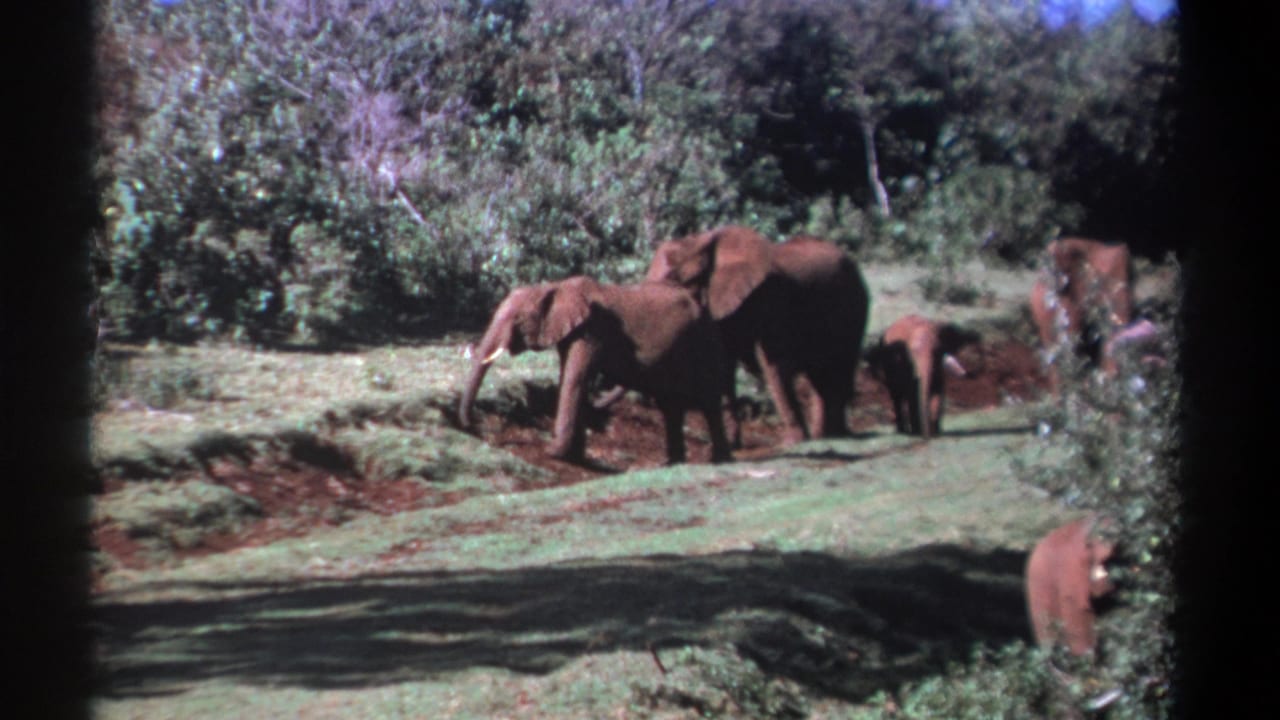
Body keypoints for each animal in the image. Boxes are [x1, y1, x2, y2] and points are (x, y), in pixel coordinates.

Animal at [457, 276, 733, 466]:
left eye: (518, 320)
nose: (474, 426)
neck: (556, 287)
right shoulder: (572, 333)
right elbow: (569, 378)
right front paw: (574, 456)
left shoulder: (592, 330)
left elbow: (576, 378)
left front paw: (553, 452)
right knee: (671, 405)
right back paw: (671, 464)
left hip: (703, 340)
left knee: (708, 399)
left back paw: (719, 461)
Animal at [645, 226, 871, 446]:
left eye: (678, 278)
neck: (704, 239)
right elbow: (724, 366)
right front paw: (732, 444)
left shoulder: (770, 298)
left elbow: (774, 364)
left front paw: (792, 443)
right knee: (819, 375)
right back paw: (824, 435)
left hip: (854, 306)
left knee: (840, 366)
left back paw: (835, 434)